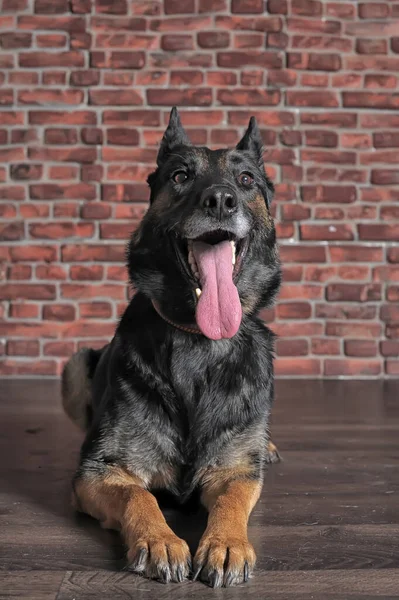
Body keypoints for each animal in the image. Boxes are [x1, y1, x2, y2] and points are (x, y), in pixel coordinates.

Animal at [61, 106, 282, 584]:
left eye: (247, 180)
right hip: (74, 366)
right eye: (181, 176)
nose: (220, 200)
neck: (198, 341)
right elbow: (138, 497)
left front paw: (226, 544)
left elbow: (232, 499)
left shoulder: (237, 473)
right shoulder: (97, 474)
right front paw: (160, 538)